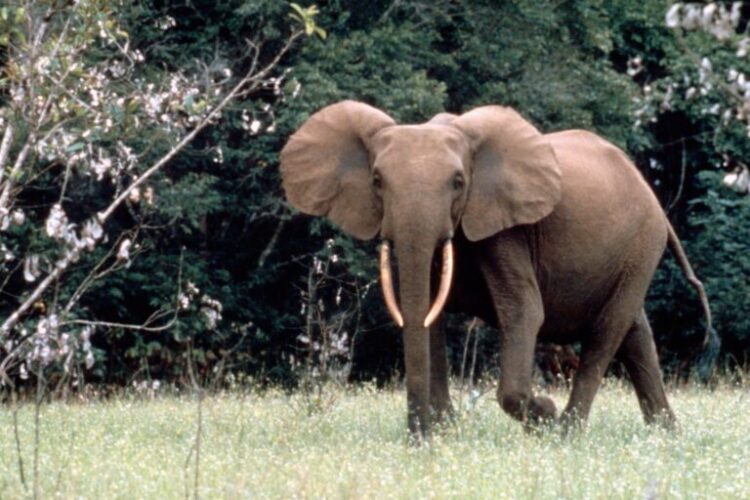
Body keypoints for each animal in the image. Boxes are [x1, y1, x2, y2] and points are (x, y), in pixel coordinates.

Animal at [279, 100, 712, 438]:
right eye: (377, 181)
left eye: (458, 182)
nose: (416, 439)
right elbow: (427, 313)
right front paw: (444, 432)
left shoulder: (506, 229)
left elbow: (524, 311)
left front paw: (543, 413)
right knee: (636, 333)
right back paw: (667, 435)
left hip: (643, 243)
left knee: (607, 331)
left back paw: (566, 433)